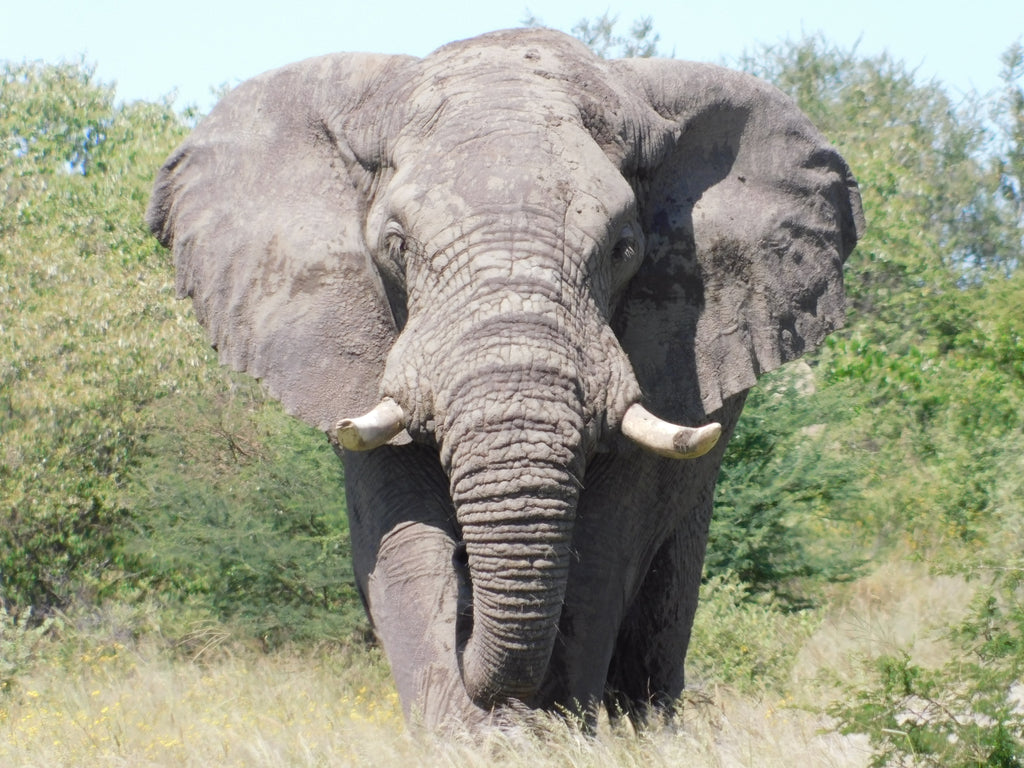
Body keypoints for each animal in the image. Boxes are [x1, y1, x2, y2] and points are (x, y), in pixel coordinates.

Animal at [146, 28, 863, 731]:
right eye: (396, 247)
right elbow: (403, 536)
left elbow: (605, 545)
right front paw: (469, 737)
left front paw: (554, 732)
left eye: (625, 248)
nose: (468, 623)